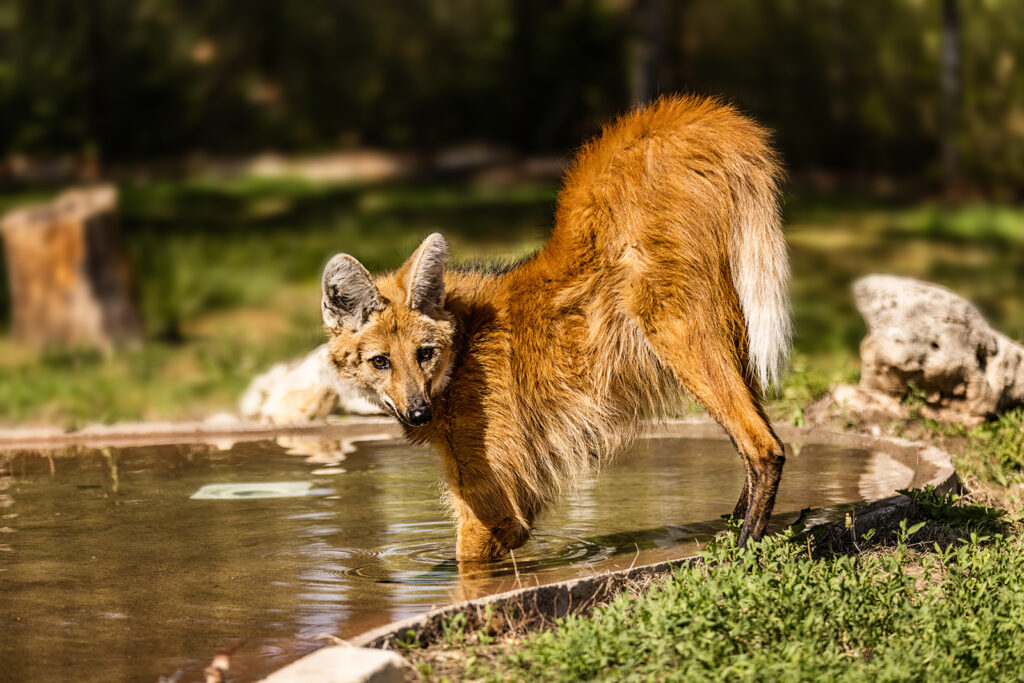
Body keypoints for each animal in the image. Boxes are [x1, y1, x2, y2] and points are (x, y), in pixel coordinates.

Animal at [320, 95, 790, 561]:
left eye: (424, 354)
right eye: (380, 362)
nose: (419, 413)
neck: (460, 359)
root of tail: (693, 115)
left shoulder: (495, 506)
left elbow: (470, 558)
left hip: (673, 327)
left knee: (765, 449)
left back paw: (742, 552)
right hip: (732, 330)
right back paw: (731, 530)